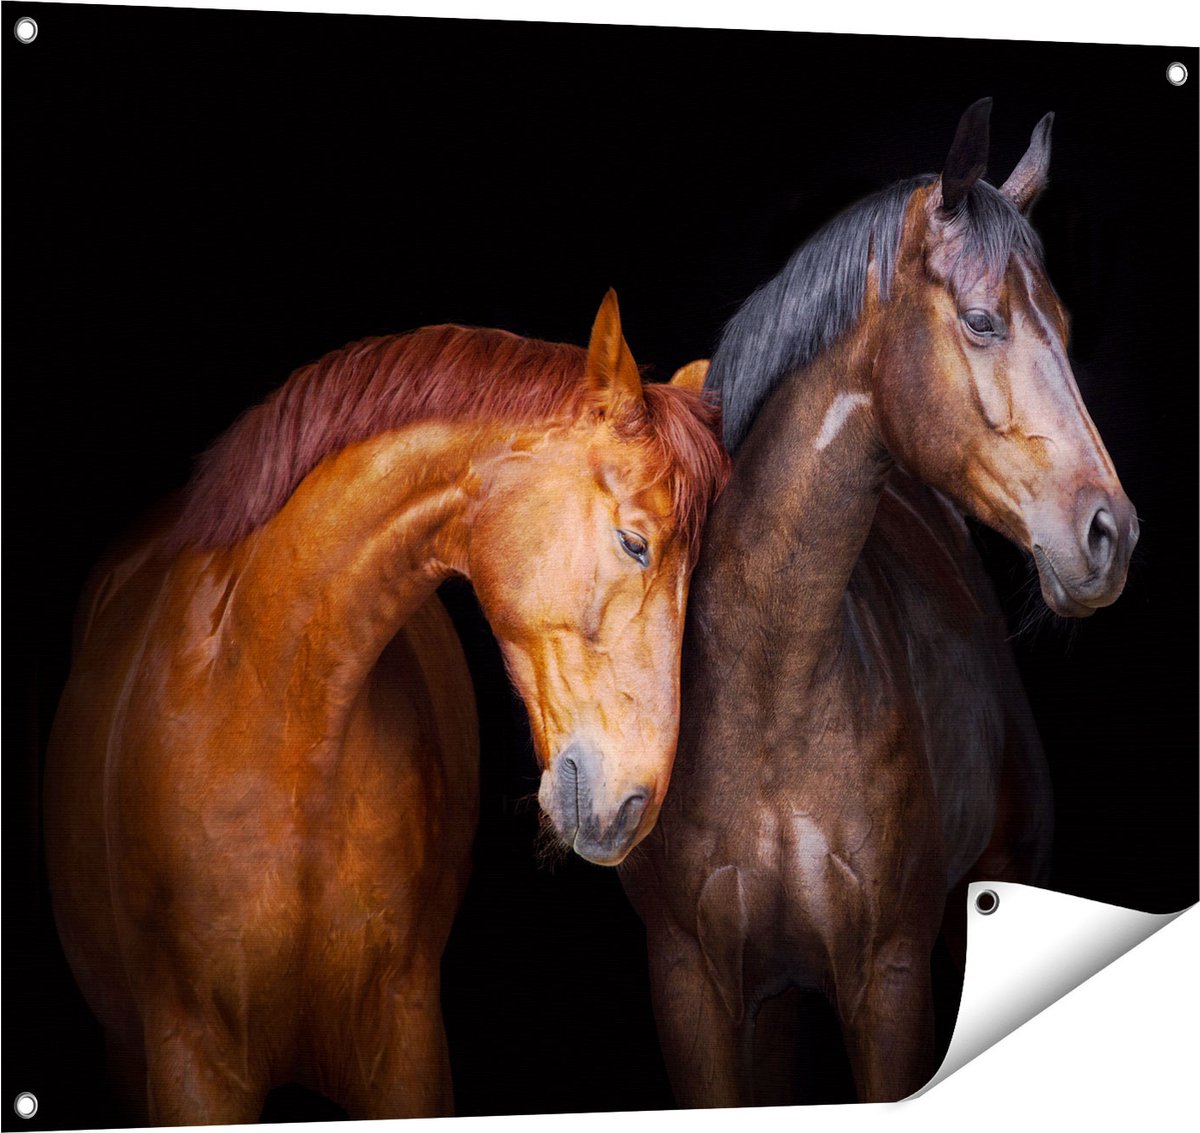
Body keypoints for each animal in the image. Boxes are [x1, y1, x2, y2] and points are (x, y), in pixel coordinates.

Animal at [619, 100, 1138, 1106]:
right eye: (981, 320)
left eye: (1063, 324)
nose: (1111, 533)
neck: (771, 686)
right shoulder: (692, 987)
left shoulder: (889, 979)